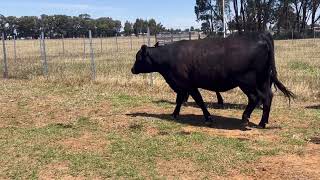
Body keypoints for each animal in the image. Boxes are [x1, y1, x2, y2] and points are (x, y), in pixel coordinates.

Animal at [132, 32, 296, 128]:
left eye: (138, 57)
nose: (132, 69)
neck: (169, 56)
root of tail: (260, 37)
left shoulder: (188, 84)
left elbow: (198, 100)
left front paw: (208, 117)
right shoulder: (182, 85)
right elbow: (179, 100)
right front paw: (174, 114)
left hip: (247, 81)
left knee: (256, 98)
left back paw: (245, 118)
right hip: (263, 80)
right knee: (268, 97)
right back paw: (262, 122)